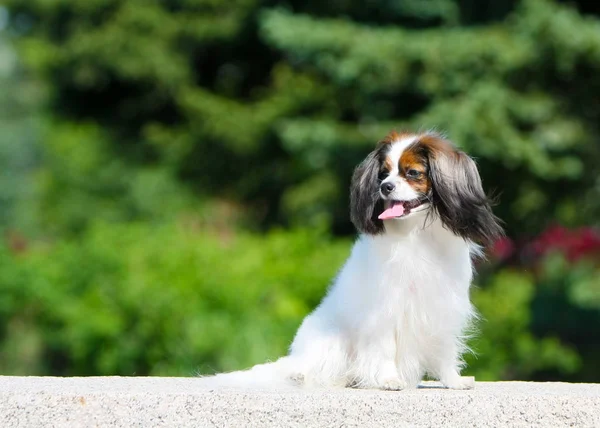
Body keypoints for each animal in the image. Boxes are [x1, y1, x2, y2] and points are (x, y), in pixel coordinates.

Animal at [200, 132, 502, 390]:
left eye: (413, 173)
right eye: (383, 174)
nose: (385, 187)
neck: (417, 234)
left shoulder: (443, 309)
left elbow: (445, 351)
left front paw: (454, 381)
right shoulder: (385, 311)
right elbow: (385, 348)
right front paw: (389, 379)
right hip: (332, 343)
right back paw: (306, 376)